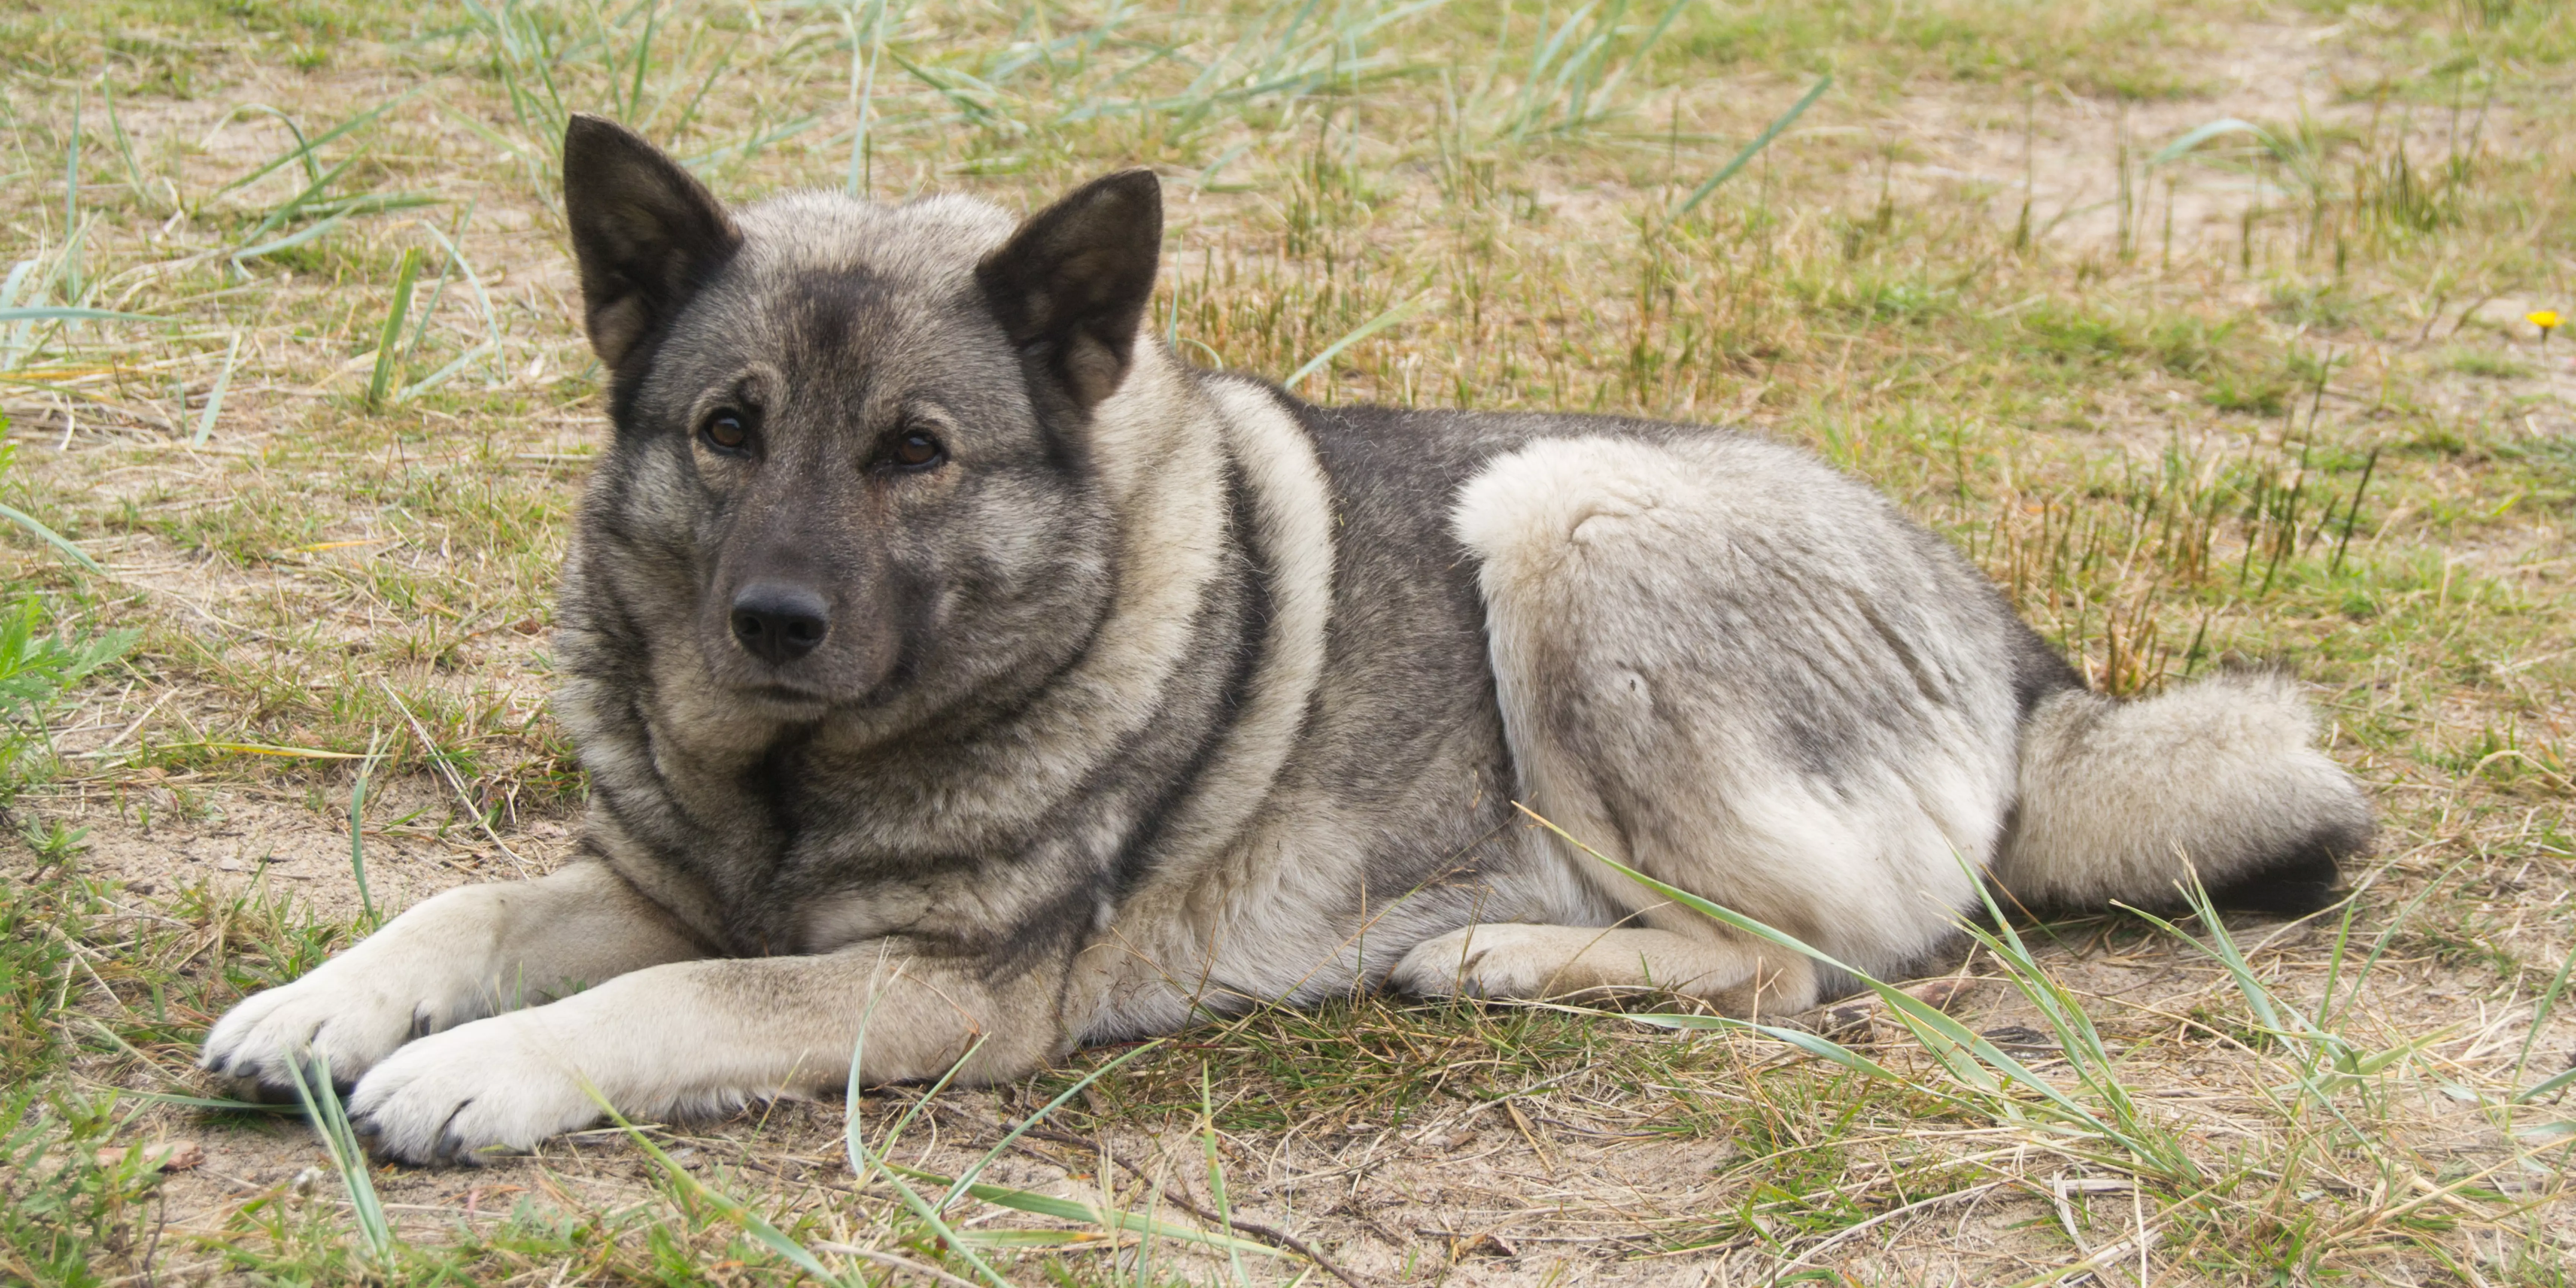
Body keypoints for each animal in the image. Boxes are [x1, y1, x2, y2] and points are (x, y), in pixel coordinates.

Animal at [201, 116, 2370, 1164]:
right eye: (729, 429)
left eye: (915, 452)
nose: (773, 621)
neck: (795, 785)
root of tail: (2015, 650)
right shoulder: (656, 882)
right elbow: (470, 908)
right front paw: (320, 1006)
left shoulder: (933, 992)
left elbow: (667, 1000)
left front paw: (481, 1078)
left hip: (1564, 513)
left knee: (1807, 962)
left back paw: (1506, 955)